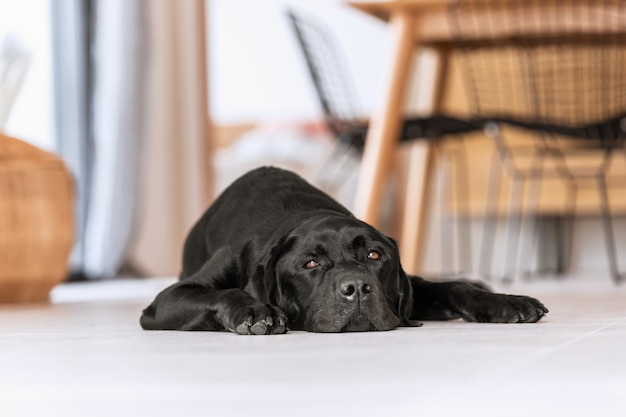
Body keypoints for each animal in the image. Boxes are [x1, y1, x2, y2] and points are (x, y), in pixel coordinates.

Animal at [141, 167, 544, 334]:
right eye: (310, 263)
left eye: (374, 256)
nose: (358, 288)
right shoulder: (166, 301)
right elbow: (225, 292)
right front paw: (256, 311)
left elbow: (452, 287)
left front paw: (508, 302)